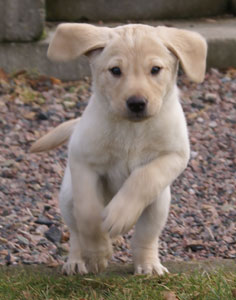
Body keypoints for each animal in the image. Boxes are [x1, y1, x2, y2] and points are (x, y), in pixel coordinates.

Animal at [31, 24, 206, 276]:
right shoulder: (82, 160)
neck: (131, 129)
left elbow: (144, 176)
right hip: (67, 196)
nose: (136, 103)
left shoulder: (175, 154)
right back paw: (77, 260)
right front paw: (97, 253)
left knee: (145, 237)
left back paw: (148, 264)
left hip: (159, 204)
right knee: (76, 233)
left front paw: (119, 214)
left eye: (155, 69)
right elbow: (88, 214)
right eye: (115, 70)